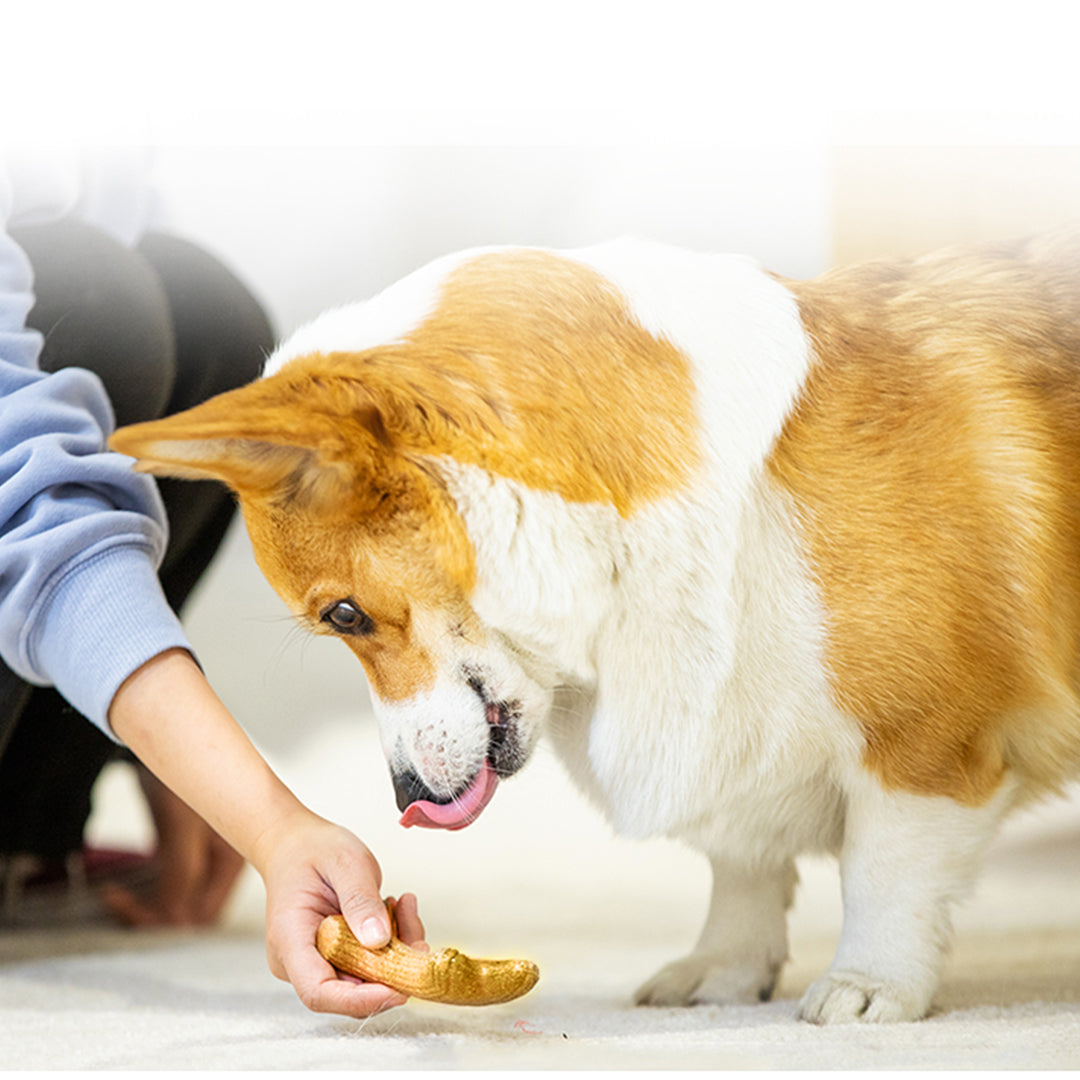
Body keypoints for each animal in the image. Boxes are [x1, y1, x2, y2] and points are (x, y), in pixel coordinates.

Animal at [109, 232, 1080, 1023]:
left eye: (343, 614)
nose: (402, 798)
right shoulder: (729, 725)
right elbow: (743, 865)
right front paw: (723, 971)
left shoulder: (923, 748)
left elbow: (884, 872)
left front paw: (869, 986)